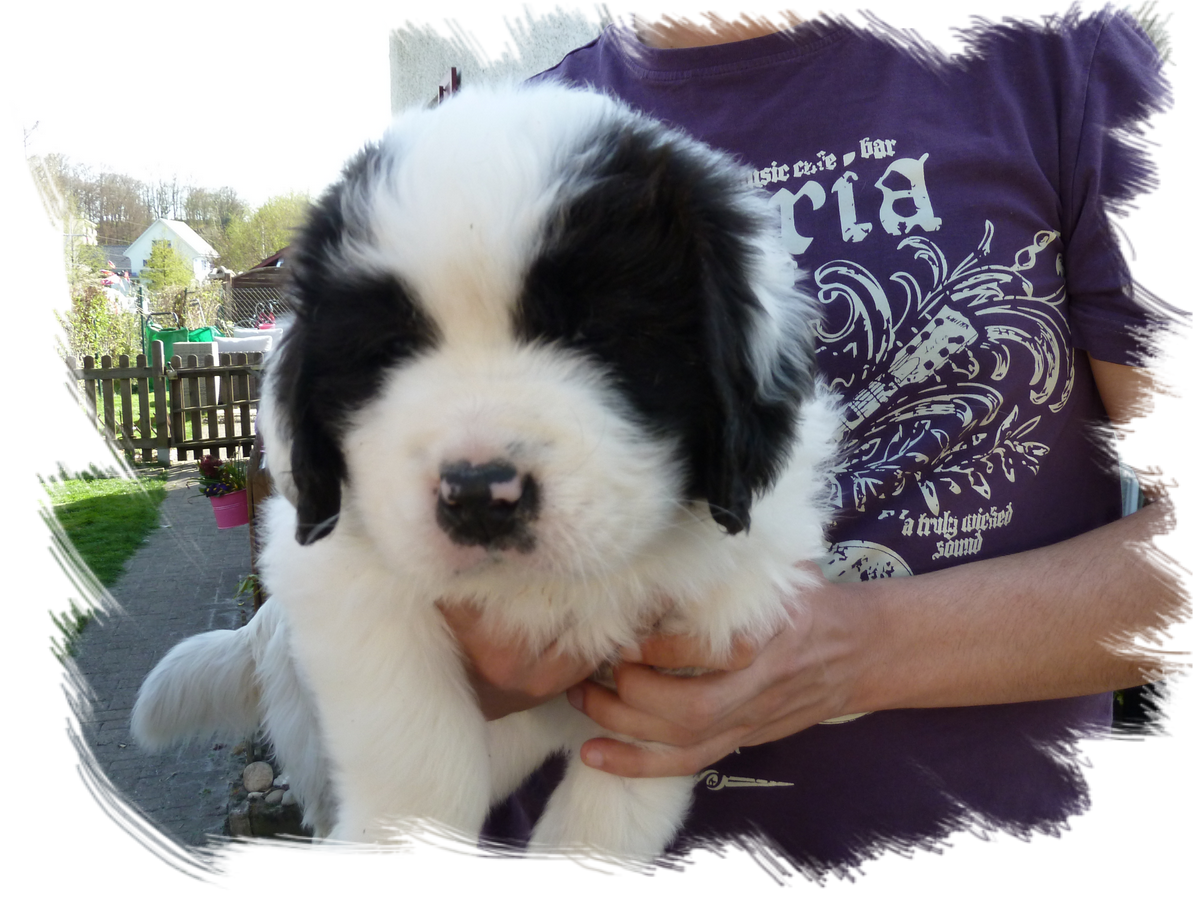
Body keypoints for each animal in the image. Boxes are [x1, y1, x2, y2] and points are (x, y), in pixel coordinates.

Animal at [134, 81, 840, 900]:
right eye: (388, 350)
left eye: (598, 333)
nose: (477, 495)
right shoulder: (346, 589)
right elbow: (424, 773)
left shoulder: (712, 634)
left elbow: (614, 812)